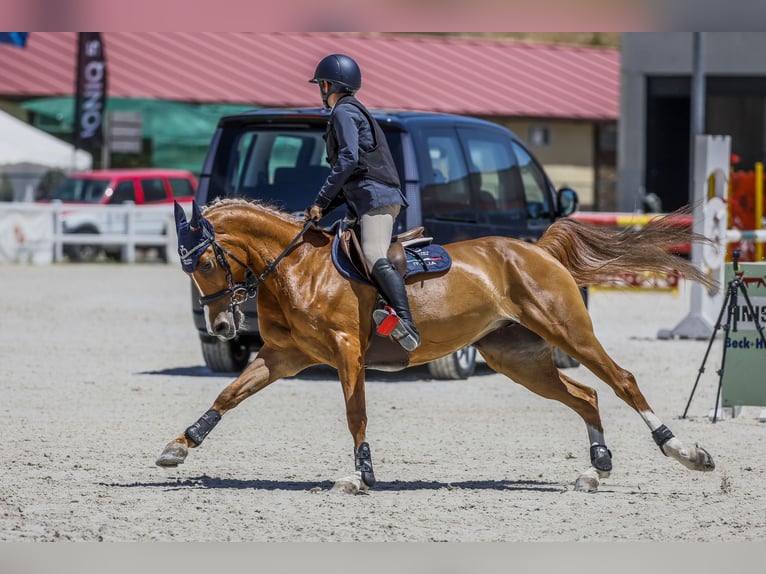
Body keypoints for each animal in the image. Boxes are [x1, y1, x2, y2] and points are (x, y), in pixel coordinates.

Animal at [158, 199, 720, 496]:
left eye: (204, 262)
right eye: (187, 266)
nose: (223, 325)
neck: (299, 268)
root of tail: (537, 251)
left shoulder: (346, 352)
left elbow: (356, 415)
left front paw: (359, 476)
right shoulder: (284, 357)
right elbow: (229, 395)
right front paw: (180, 445)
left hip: (569, 333)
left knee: (621, 381)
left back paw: (685, 452)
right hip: (516, 357)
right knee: (586, 396)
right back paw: (594, 468)